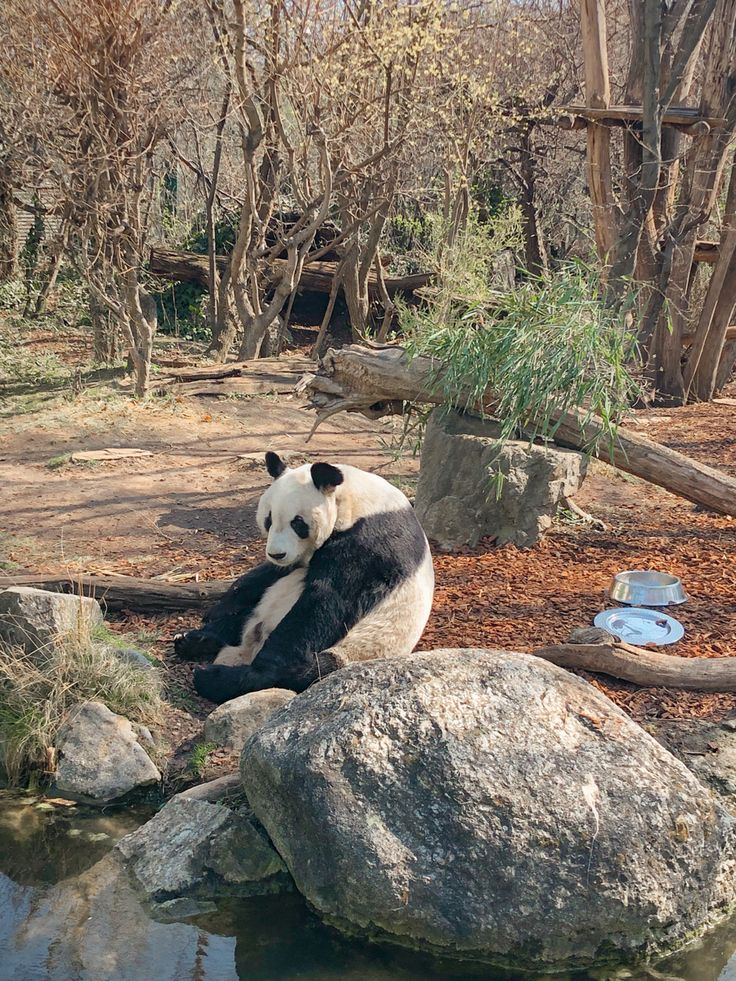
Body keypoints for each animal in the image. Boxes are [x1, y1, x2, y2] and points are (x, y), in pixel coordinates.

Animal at [175, 452, 434, 704]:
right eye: (268, 519)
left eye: (298, 523)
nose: (276, 554)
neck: (354, 499)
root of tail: (248, 647)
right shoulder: (296, 559)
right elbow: (267, 575)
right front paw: (217, 610)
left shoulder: (368, 541)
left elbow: (327, 600)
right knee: (242, 618)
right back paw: (194, 640)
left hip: (355, 649)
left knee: (305, 669)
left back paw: (219, 677)